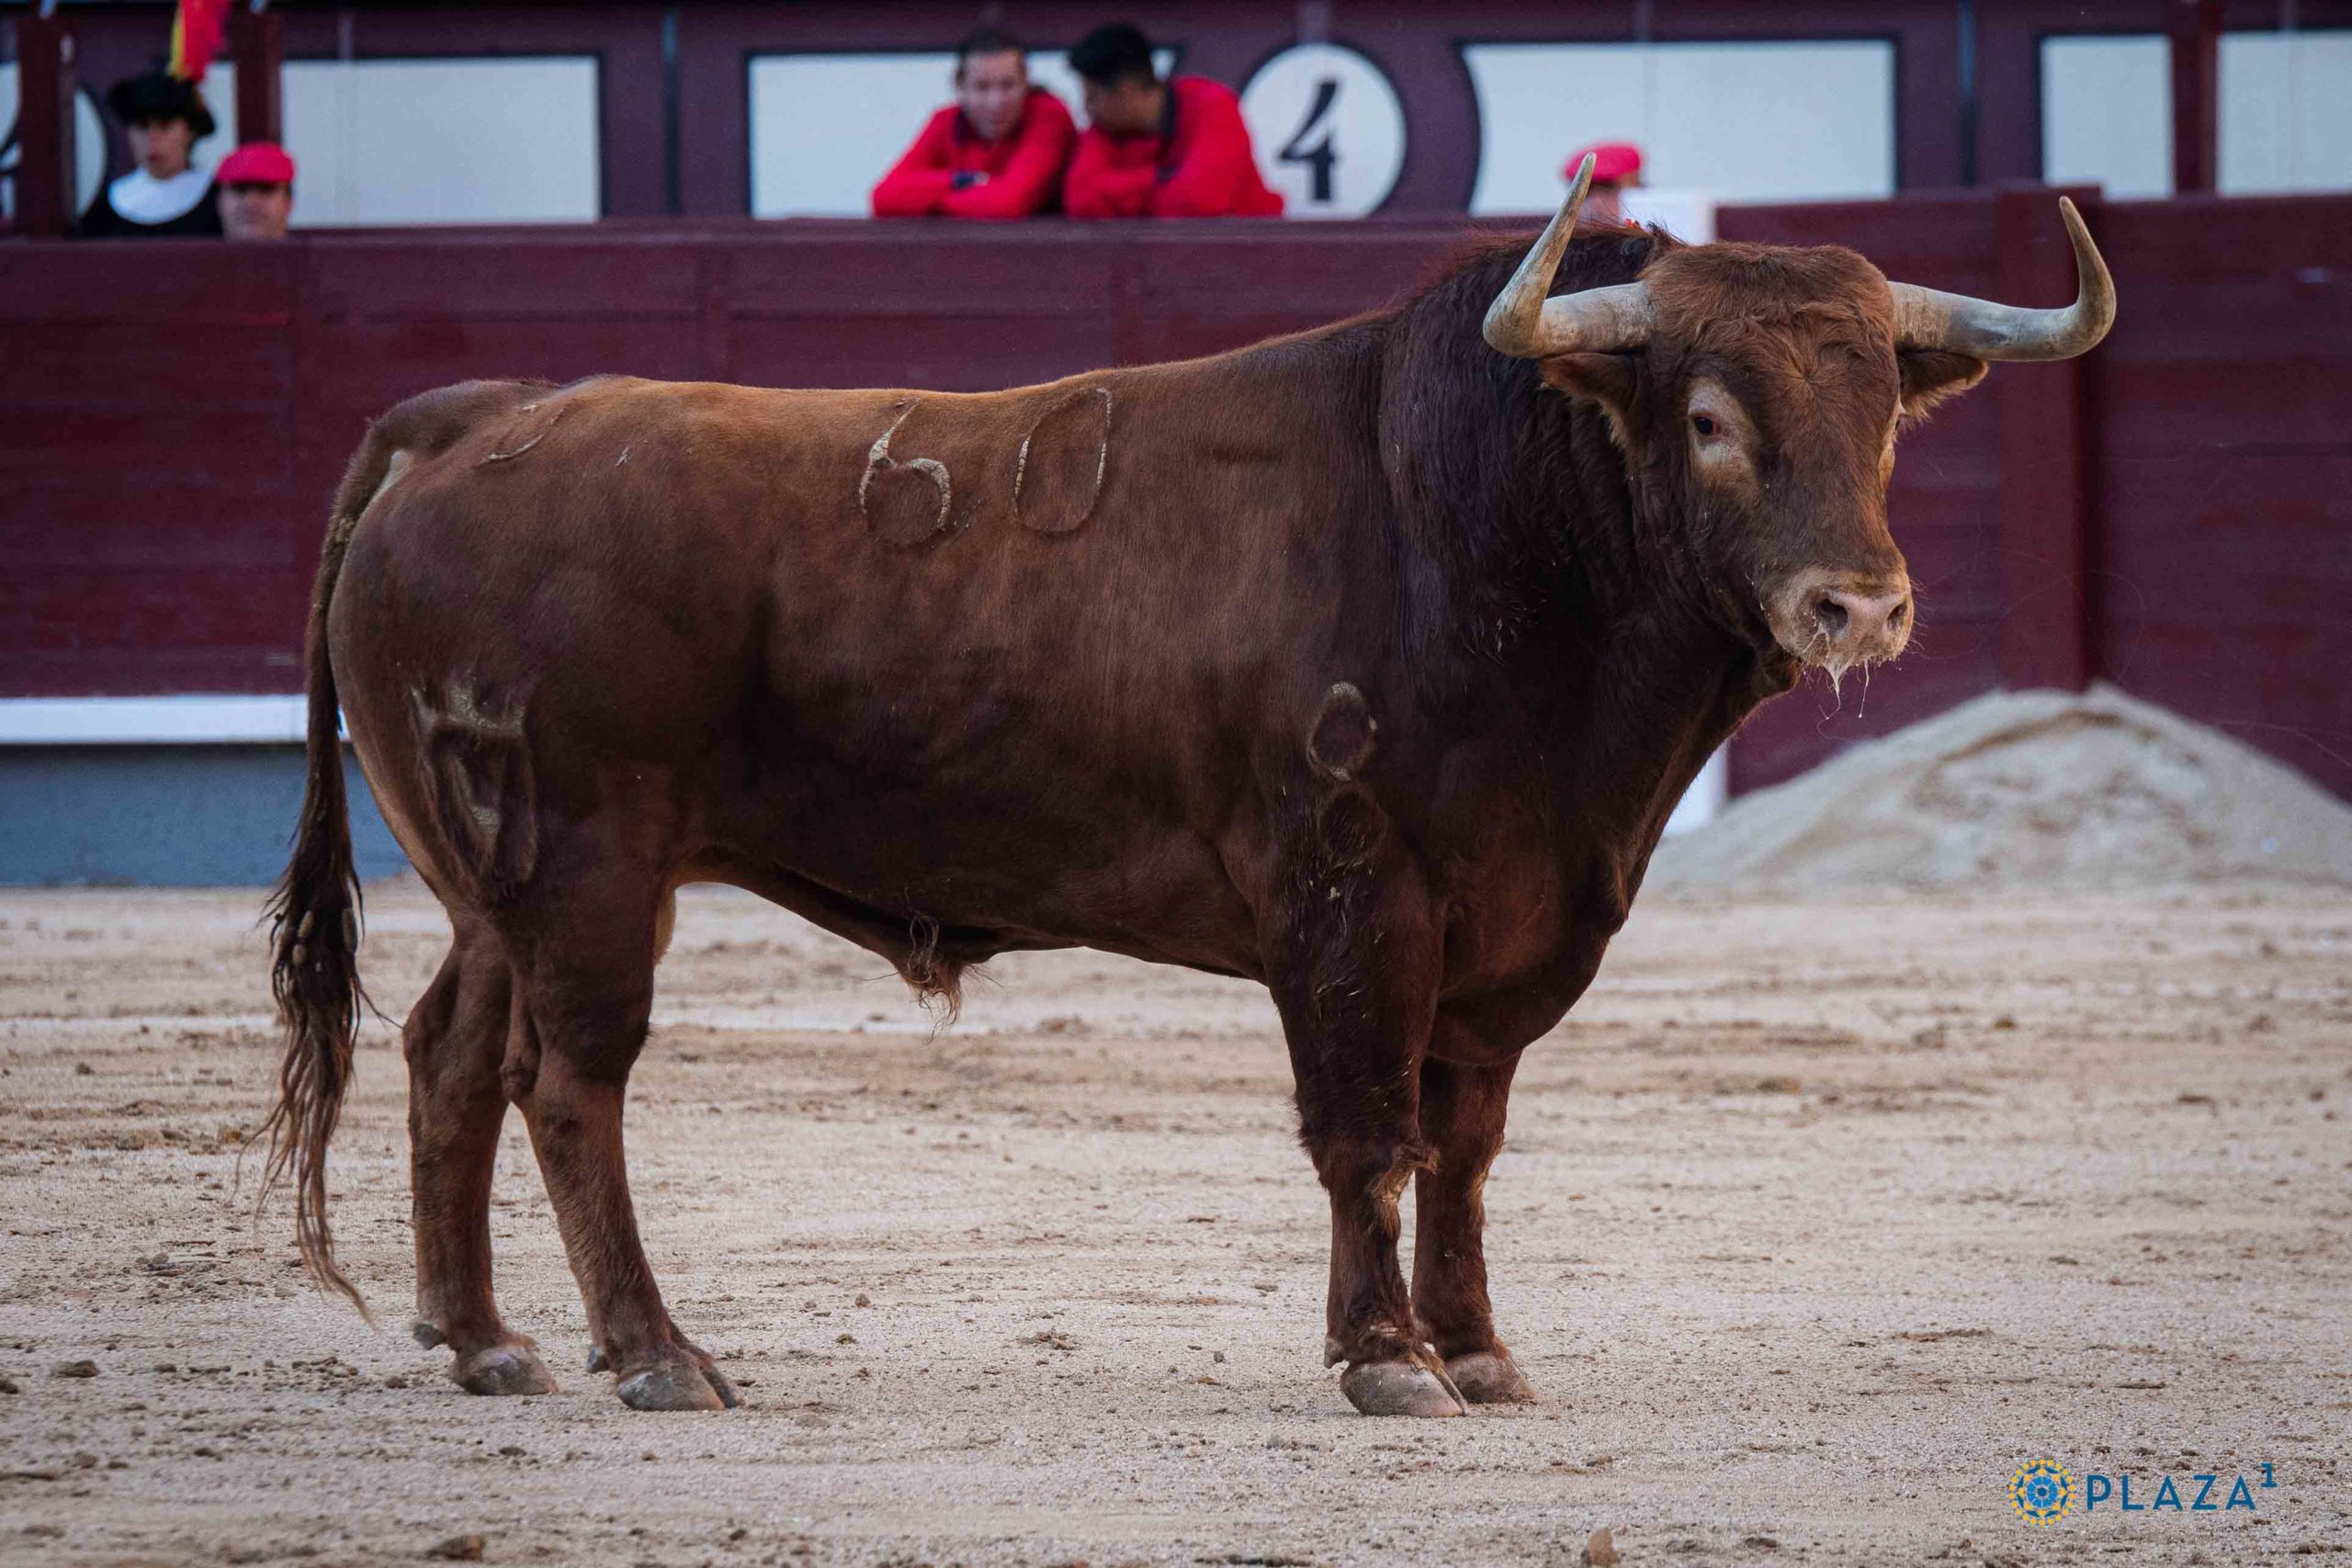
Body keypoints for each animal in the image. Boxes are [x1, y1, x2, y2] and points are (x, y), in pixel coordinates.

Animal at [262, 165, 2117, 1419]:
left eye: (1890, 418)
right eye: (1716, 418)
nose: (1858, 607)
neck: (1478, 526)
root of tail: (467, 424)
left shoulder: (1507, 924)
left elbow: (1464, 1143)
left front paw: (1477, 1346)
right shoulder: (1356, 904)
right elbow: (1364, 1128)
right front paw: (1385, 1361)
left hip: (493, 876)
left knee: (448, 1053)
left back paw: (485, 1340)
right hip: (591, 863)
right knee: (571, 1080)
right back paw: (656, 1354)